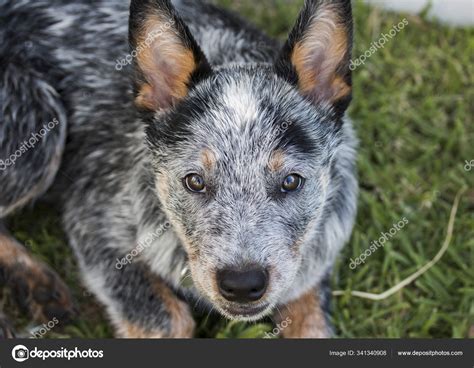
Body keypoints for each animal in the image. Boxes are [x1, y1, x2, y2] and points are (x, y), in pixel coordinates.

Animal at [0, 0, 356, 338]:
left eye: (292, 181)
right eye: (194, 181)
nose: (242, 284)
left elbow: (313, 325)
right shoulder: (94, 221)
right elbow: (170, 320)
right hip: (41, 124)